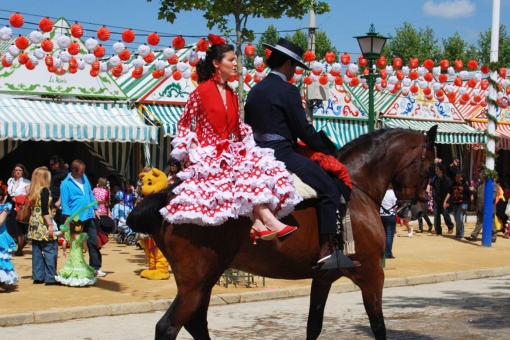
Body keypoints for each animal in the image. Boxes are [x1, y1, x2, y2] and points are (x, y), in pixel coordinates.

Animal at [128, 125, 438, 340]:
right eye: (430, 169)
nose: (418, 209)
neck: (356, 187)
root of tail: (167, 196)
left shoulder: (323, 277)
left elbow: (314, 326)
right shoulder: (372, 274)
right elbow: (378, 326)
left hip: (204, 281)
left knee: (195, 323)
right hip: (197, 282)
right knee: (169, 327)